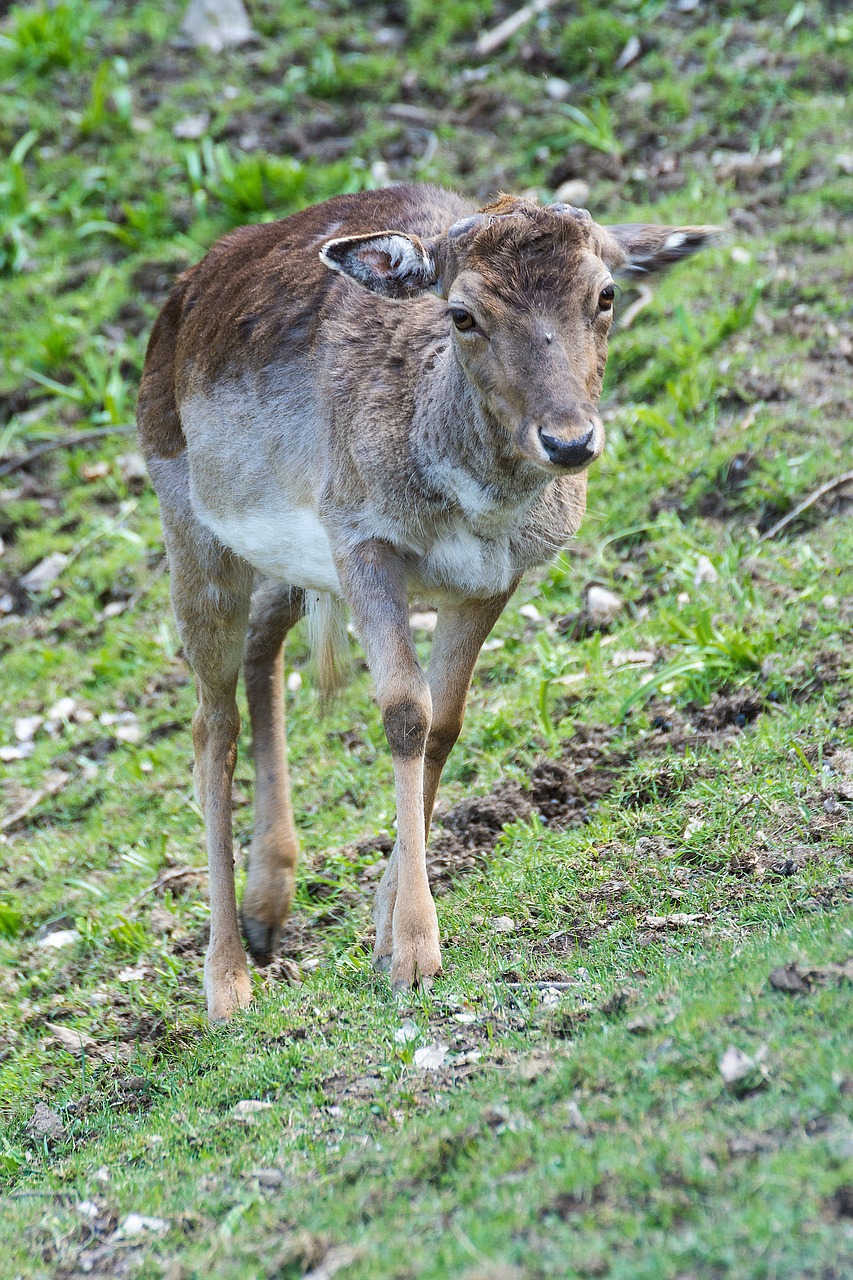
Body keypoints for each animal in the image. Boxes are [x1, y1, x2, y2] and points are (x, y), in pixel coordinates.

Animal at [136, 183, 712, 1018]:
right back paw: (227, 982)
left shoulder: (495, 575)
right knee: (210, 725)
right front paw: (414, 952)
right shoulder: (361, 536)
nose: (569, 441)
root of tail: (181, 296)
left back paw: (266, 909)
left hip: (291, 561)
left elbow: (445, 721)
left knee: (262, 646)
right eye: (462, 314)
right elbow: (403, 711)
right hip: (188, 523)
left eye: (604, 294)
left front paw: (382, 932)